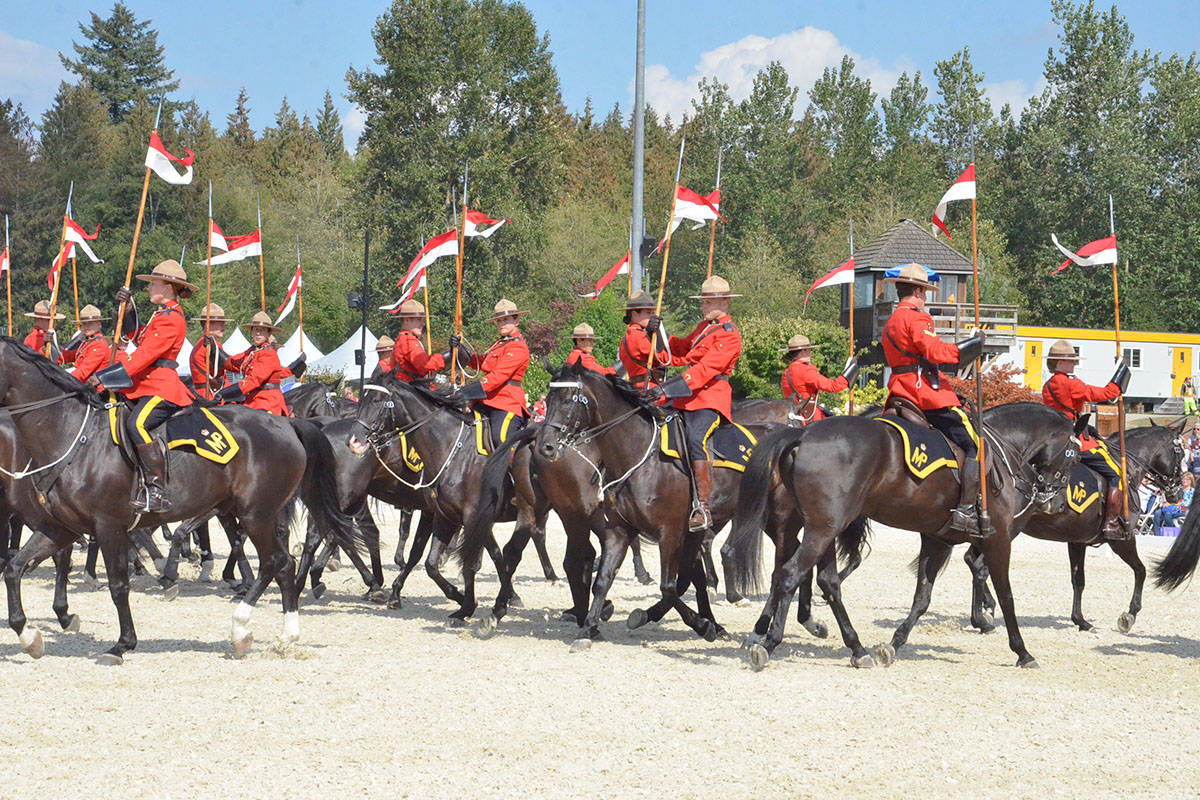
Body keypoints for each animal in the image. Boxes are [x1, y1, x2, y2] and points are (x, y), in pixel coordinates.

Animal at [0, 338, 360, 662]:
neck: (72, 433)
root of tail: (286, 423)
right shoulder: (62, 528)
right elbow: (14, 569)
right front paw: (29, 635)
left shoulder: (108, 525)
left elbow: (119, 584)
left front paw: (123, 644)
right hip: (251, 513)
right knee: (282, 565)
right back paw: (282, 635)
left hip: (257, 514)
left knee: (276, 561)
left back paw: (243, 629)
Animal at [724, 400, 1084, 671]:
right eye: (1076, 455)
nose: (1054, 501)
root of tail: (803, 433)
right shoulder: (998, 542)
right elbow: (1007, 596)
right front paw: (1021, 650)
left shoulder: (937, 539)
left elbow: (922, 598)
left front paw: (894, 644)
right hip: (819, 530)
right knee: (789, 575)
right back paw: (770, 642)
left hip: (822, 529)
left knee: (824, 581)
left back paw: (856, 648)